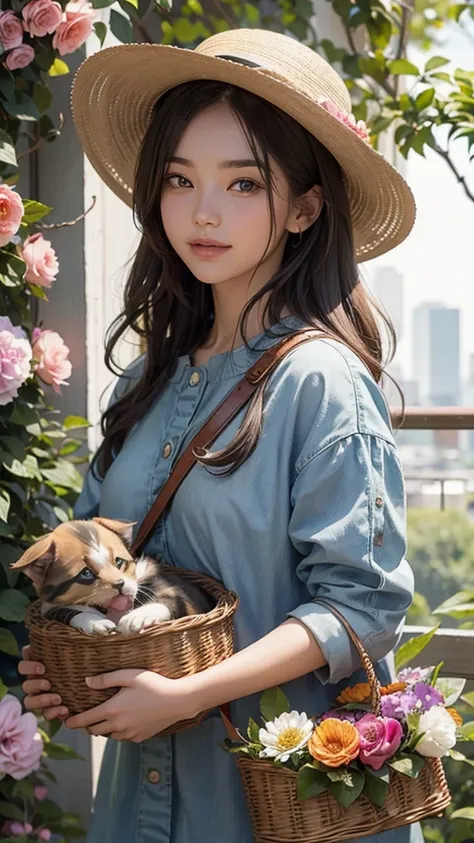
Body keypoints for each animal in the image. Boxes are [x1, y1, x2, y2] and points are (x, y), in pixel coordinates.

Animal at [11, 516, 215, 636]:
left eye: (118, 562)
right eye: (86, 573)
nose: (120, 584)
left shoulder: (186, 598)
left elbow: (171, 600)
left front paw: (137, 616)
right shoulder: (48, 607)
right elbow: (65, 611)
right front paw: (95, 622)